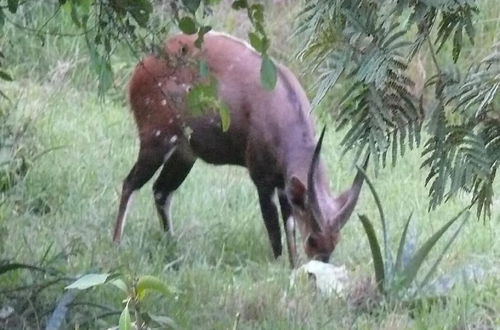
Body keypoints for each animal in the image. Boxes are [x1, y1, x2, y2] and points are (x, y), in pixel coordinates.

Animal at [112, 32, 368, 266]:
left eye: (336, 241)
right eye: (314, 239)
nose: (321, 261)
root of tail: (140, 67)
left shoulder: (283, 183)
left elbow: (290, 226)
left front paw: (294, 268)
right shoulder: (261, 177)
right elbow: (274, 230)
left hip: (185, 153)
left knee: (161, 190)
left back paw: (172, 246)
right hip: (156, 139)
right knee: (130, 183)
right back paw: (116, 244)